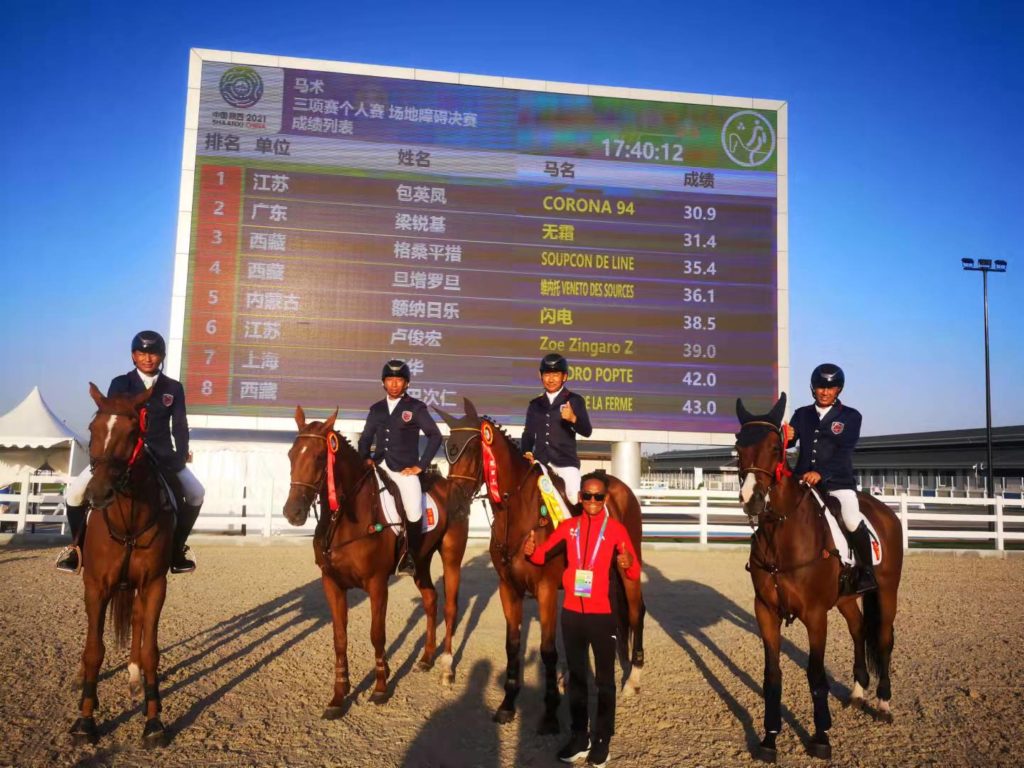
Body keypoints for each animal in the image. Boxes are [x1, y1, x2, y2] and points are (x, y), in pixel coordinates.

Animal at [71, 382, 173, 745]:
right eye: (92, 429)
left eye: (133, 432)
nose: (98, 493)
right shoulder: (96, 586)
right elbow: (93, 650)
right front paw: (85, 720)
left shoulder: (155, 584)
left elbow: (151, 650)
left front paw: (153, 720)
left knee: (139, 622)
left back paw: (134, 677)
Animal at [284, 399, 483, 720]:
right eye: (291, 454)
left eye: (318, 457)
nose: (293, 513)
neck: (347, 518)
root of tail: (452, 486)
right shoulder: (332, 583)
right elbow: (339, 639)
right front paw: (338, 697)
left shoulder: (377, 584)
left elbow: (377, 634)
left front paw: (380, 686)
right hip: (421, 561)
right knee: (431, 599)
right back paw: (426, 658)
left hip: (451, 557)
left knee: (450, 607)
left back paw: (446, 669)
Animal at [475, 415, 643, 733]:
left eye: (467, 450)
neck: (518, 514)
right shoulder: (508, 588)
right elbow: (512, 645)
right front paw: (507, 705)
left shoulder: (546, 590)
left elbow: (547, 650)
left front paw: (551, 714)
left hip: (628, 568)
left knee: (636, 612)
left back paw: (634, 679)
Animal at [737, 397, 905, 765]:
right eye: (738, 445)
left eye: (775, 447)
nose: (752, 499)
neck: (781, 533)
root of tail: (886, 511)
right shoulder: (765, 611)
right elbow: (772, 676)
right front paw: (769, 739)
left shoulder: (815, 615)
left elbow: (816, 675)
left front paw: (821, 737)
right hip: (846, 599)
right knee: (859, 631)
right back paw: (857, 693)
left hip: (888, 592)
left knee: (884, 639)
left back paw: (883, 703)